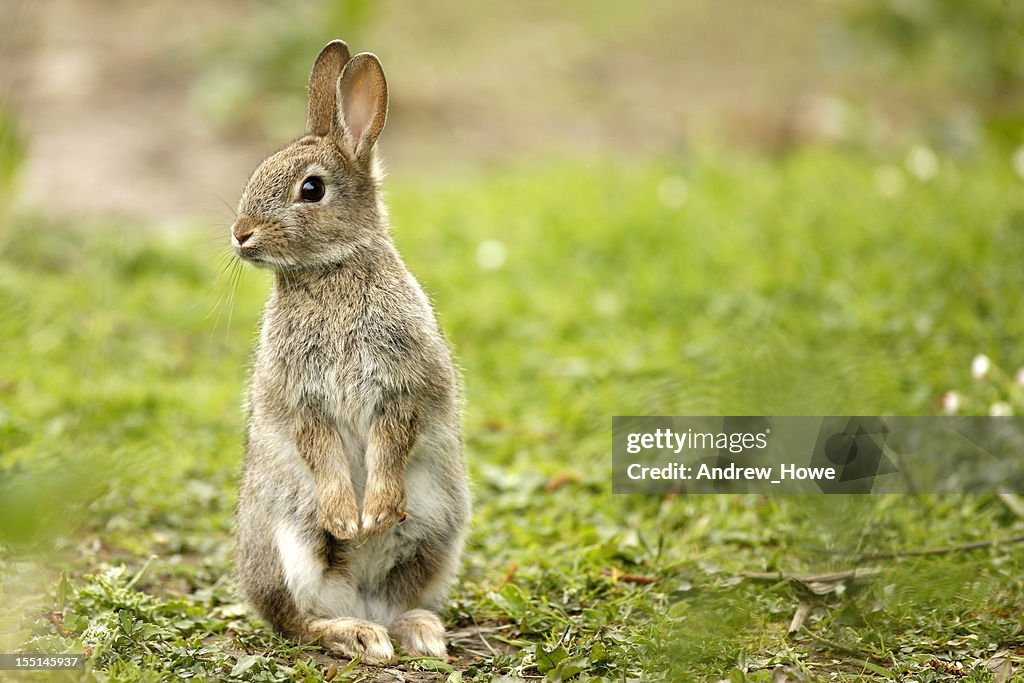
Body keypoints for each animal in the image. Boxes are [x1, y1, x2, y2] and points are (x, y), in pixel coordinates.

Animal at [230, 40, 468, 663]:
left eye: (311, 189)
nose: (240, 233)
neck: (330, 269)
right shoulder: (303, 400)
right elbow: (319, 449)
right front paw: (347, 518)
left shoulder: (402, 388)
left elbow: (393, 440)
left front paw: (375, 513)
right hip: (290, 544)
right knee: (300, 623)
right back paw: (357, 633)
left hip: (436, 534)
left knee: (399, 598)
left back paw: (416, 632)